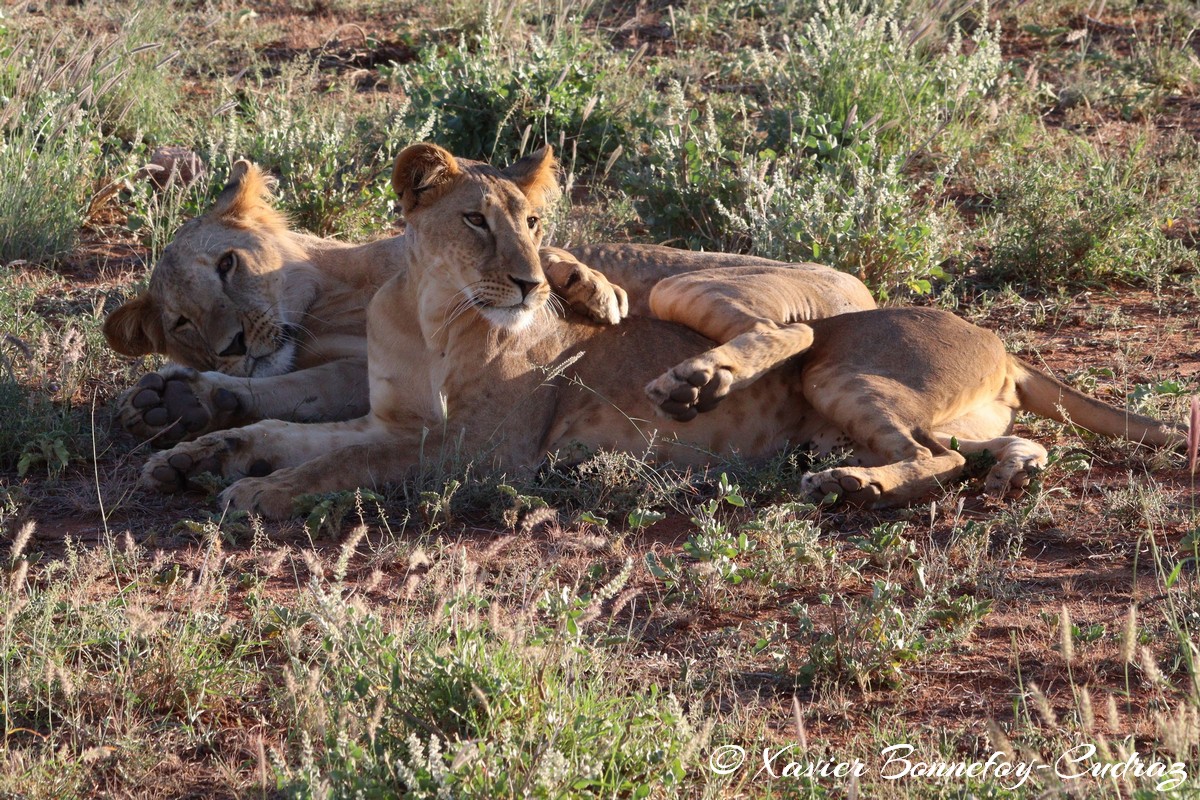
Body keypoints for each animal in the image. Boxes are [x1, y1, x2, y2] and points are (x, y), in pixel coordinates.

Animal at [104, 162, 872, 445]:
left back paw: (701, 378)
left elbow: (544, 251)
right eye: (180, 320)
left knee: (791, 337)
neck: (323, 306)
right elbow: (298, 389)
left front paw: (587, 287)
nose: (233, 344)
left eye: (227, 264)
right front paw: (180, 396)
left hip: (689, 285)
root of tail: (862, 285)